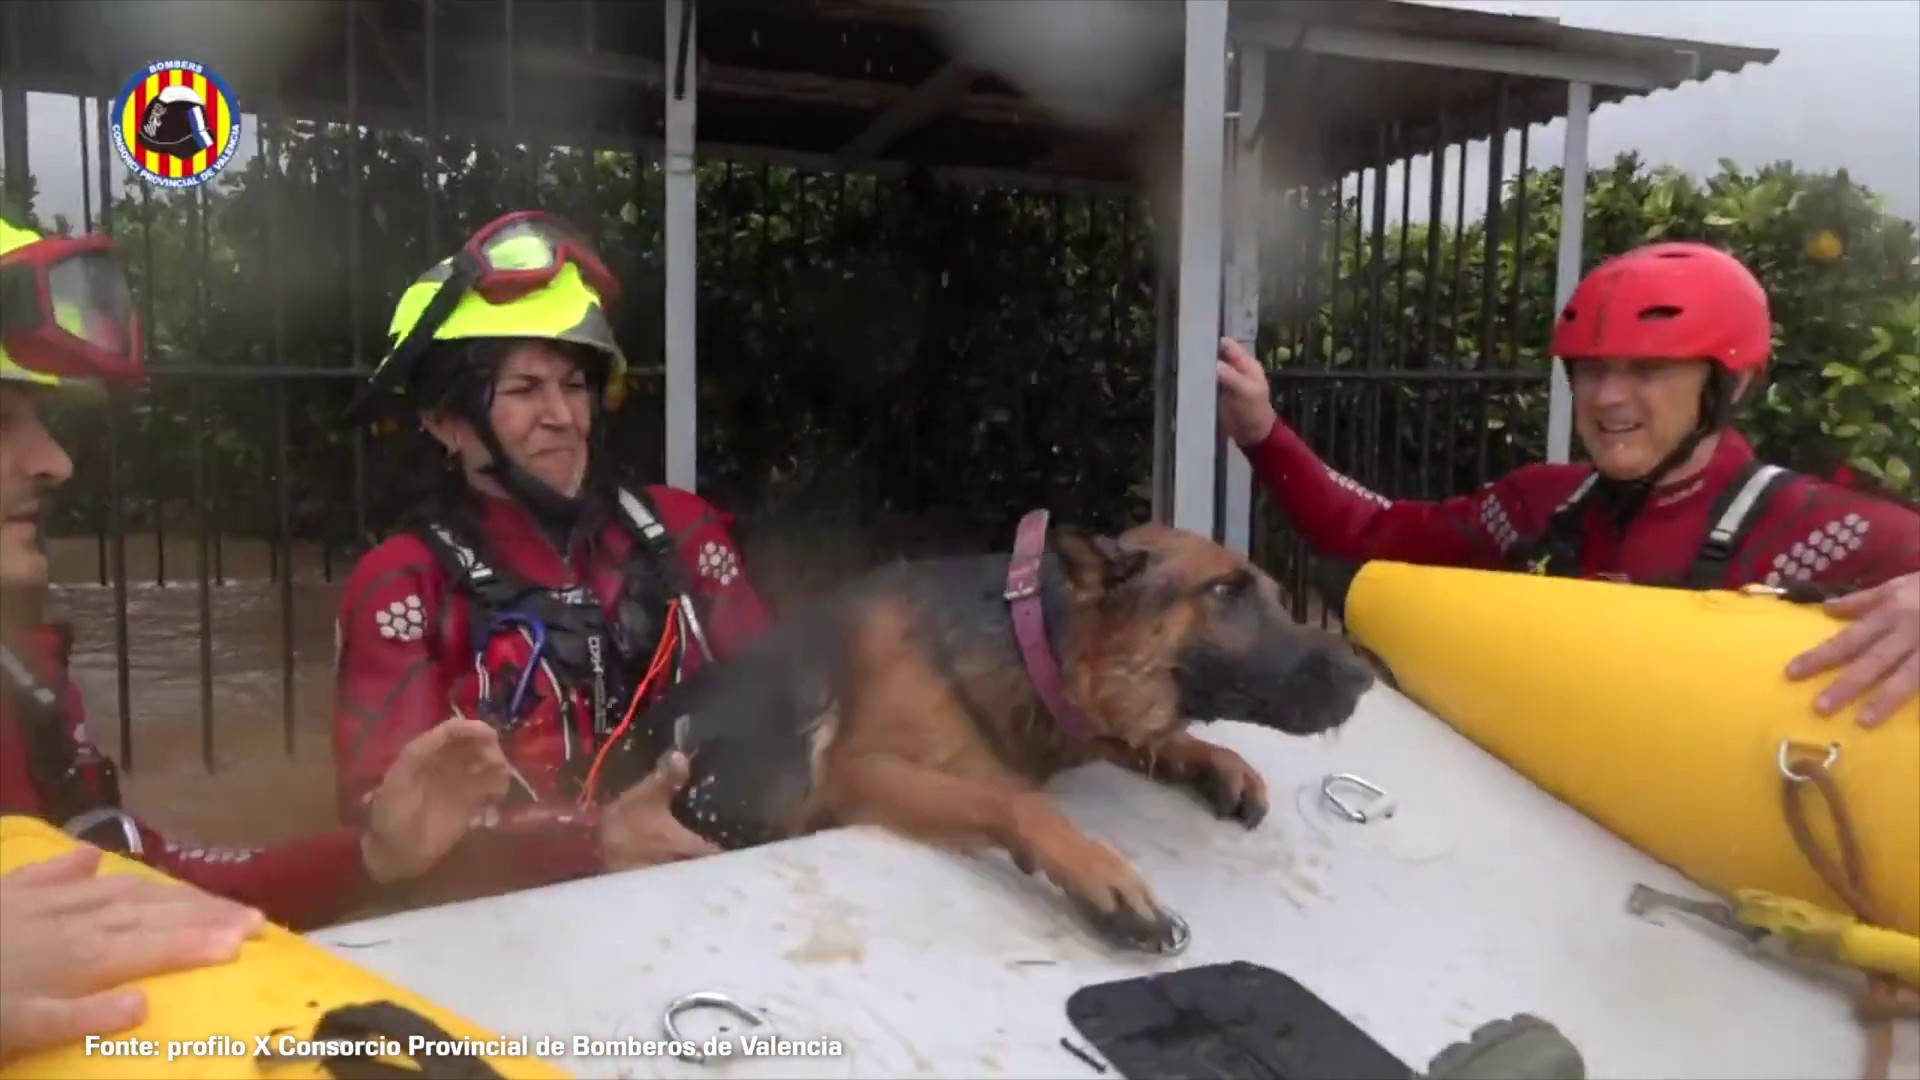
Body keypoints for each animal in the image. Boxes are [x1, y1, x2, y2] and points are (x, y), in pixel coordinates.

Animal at [606, 511, 1374, 949]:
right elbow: (1012, 799)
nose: (1364, 673)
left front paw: (1214, 758)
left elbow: (1139, 739)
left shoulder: (1076, 725)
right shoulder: (862, 773)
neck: (1027, 637)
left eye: (1274, 594)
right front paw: (1105, 877)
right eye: (1225, 592)